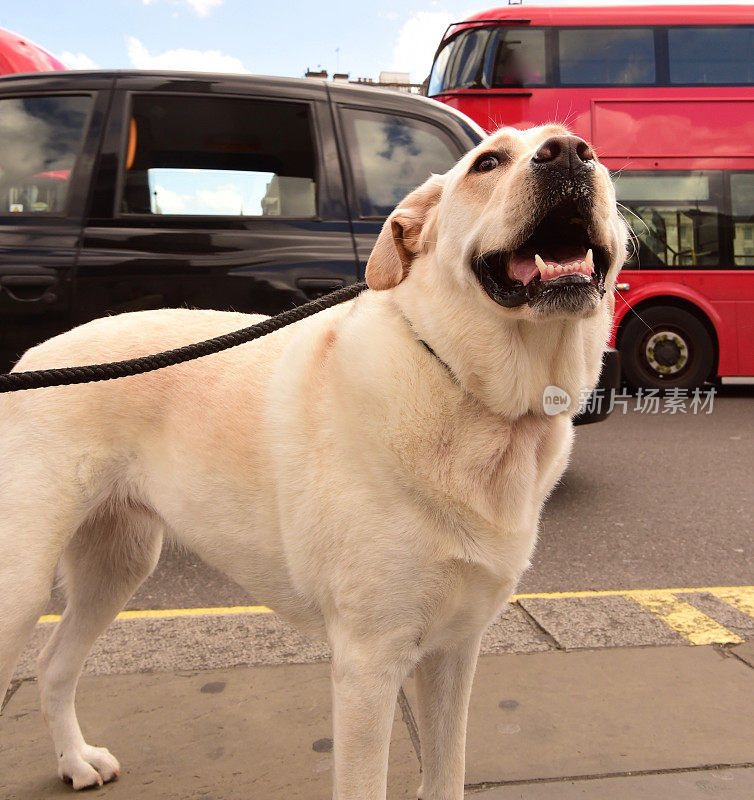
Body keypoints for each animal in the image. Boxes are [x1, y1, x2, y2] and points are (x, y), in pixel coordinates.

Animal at [0, 123, 624, 792]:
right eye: (487, 163)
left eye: (590, 152)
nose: (570, 153)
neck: (481, 403)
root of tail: (26, 361)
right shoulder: (368, 662)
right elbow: (365, 782)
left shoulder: (454, 650)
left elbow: (446, 773)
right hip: (20, 584)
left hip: (117, 561)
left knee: (53, 663)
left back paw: (75, 761)